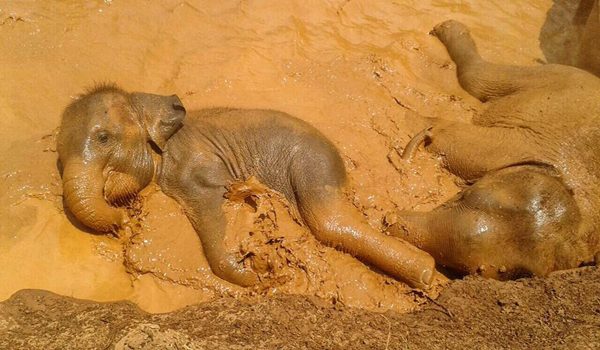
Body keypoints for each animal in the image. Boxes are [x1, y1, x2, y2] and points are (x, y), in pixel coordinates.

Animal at [57, 83, 436, 288]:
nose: (122, 224)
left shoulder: (195, 163)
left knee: (330, 222)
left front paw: (257, 276)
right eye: (59, 156)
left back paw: (427, 274)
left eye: (103, 138)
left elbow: (215, 203)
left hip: (313, 163)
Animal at [390, 21, 600, 278]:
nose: (389, 219)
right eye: (462, 196)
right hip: (560, 77)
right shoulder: (498, 150)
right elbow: (443, 133)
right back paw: (447, 28)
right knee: (478, 77)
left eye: (510, 274)